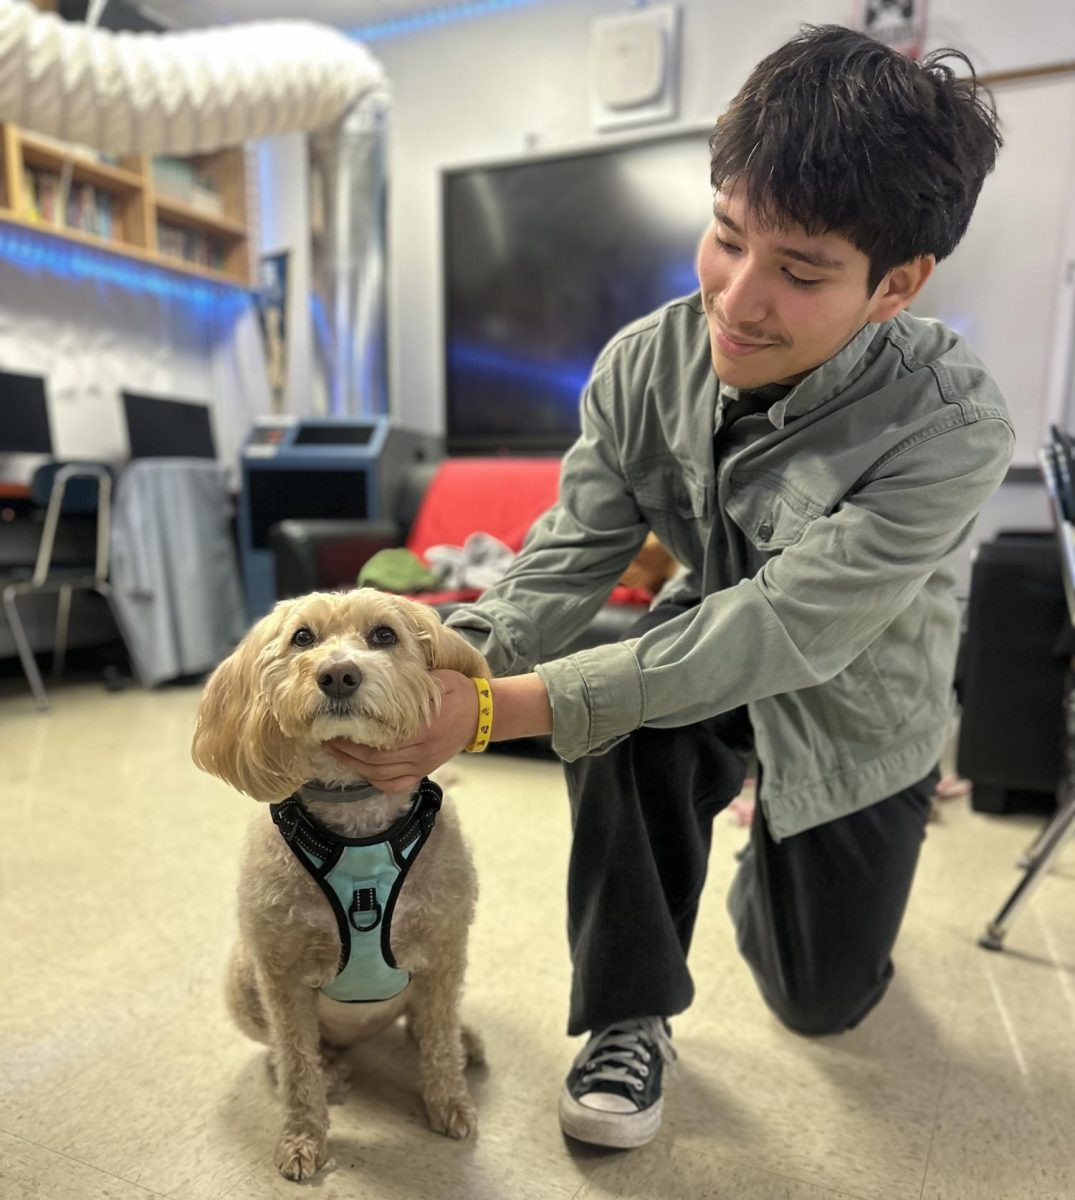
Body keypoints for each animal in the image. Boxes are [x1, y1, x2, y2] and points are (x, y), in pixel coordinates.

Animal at [193, 590, 491, 1180]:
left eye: (384, 635)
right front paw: (303, 1139)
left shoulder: (446, 950)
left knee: (430, 1022)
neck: (357, 823)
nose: (338, 675)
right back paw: (330, 1068)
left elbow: (440, 1042)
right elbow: (296, 1067)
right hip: (242, 977)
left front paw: (449, 1102)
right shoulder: (281, 976)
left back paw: (460, 1041)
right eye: (302, 638)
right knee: (284, 1053)